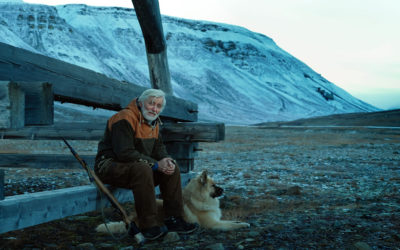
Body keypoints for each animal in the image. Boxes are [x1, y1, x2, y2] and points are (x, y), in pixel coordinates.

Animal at [95, 170, 248, 232]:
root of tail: (132, 219)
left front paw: (242, 222)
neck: (199, 198)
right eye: (214, 186)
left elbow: (233, 221)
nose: (224, 189)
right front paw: (243, 225)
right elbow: (231, 224)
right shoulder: (214, 224)